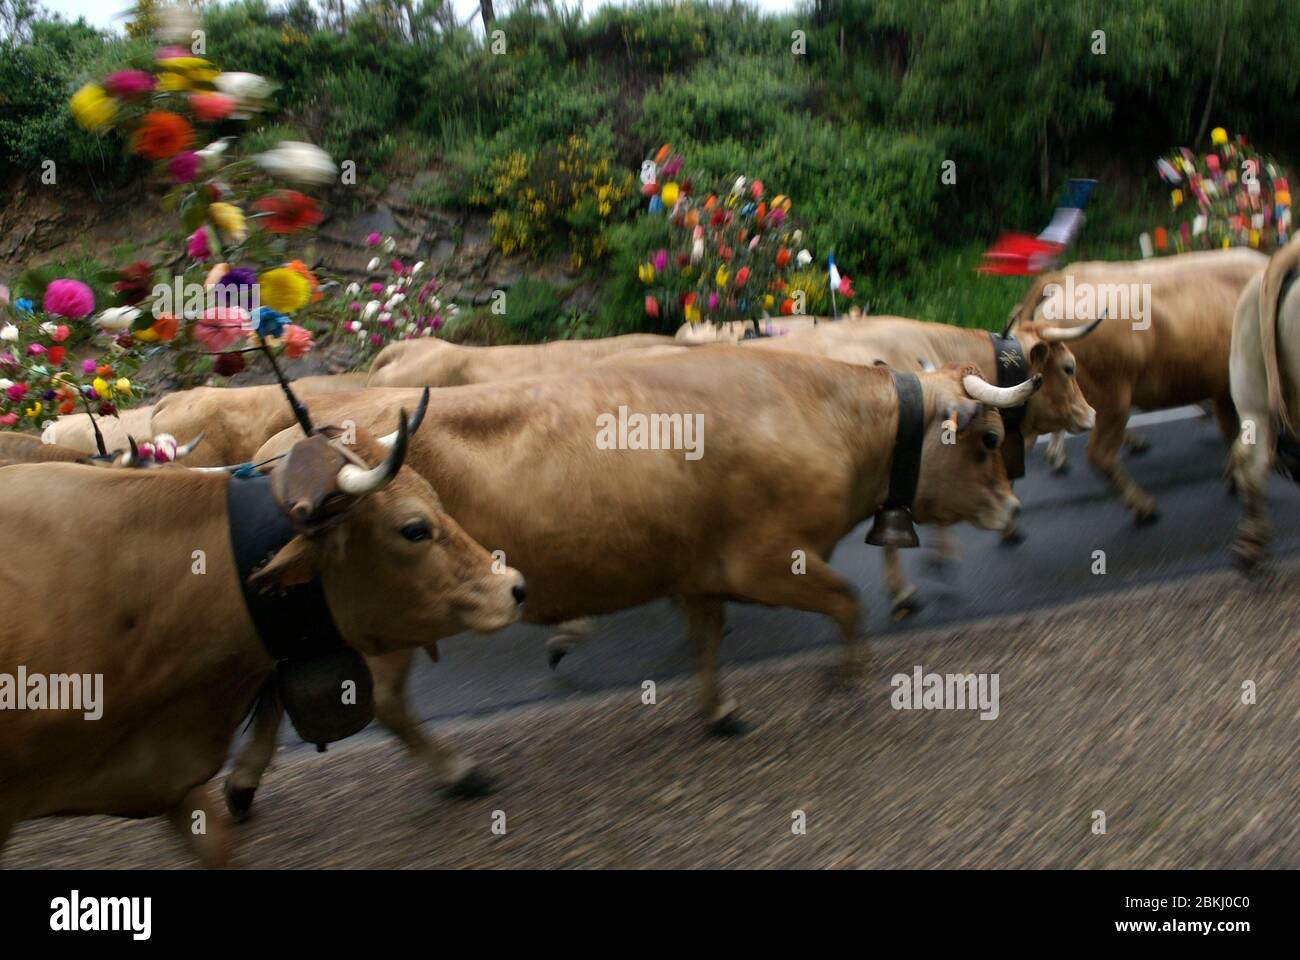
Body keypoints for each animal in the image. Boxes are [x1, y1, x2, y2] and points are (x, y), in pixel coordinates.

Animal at [223, 343, 1034, 806]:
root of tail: (277, 452)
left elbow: (708, 637)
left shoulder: (698, 566)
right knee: (387, 705)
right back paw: (457, 773)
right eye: (991, 440)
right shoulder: (770, 559)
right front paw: (843, 678)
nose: (1014, 509)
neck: (815, 412)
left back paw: (243, 783)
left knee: (270, 696)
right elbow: (845, 603)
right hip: (387, 619)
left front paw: (719, 711)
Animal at [1003, 244, 1268, 515]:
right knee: (1100, 454)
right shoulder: (1228, 388)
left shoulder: (1221, 388)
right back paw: (1142, 505)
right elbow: (1236, 433)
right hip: (1113, 397)